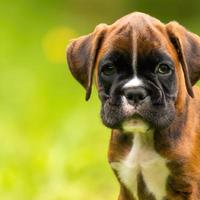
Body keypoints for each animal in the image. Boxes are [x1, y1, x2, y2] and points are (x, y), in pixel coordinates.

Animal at [66, 12, 200, 200]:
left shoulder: (190, 187)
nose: (135, 93)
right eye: (109, 69)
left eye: (163, 69)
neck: (142, 138)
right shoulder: (126, 189)